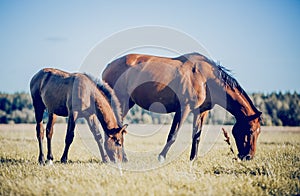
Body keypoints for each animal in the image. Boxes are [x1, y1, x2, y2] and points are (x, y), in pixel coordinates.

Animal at [102, 52, 262, 162]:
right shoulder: (183, 108)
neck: (205, 78)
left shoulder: (201, 112)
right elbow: (173, 135)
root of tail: (108, 66)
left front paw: (193, 159)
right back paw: (121, 157)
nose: (249, 156)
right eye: (251, 130)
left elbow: (196, 136)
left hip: (128, 102)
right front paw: (161, 157)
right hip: (121, 101)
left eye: (259, 132)